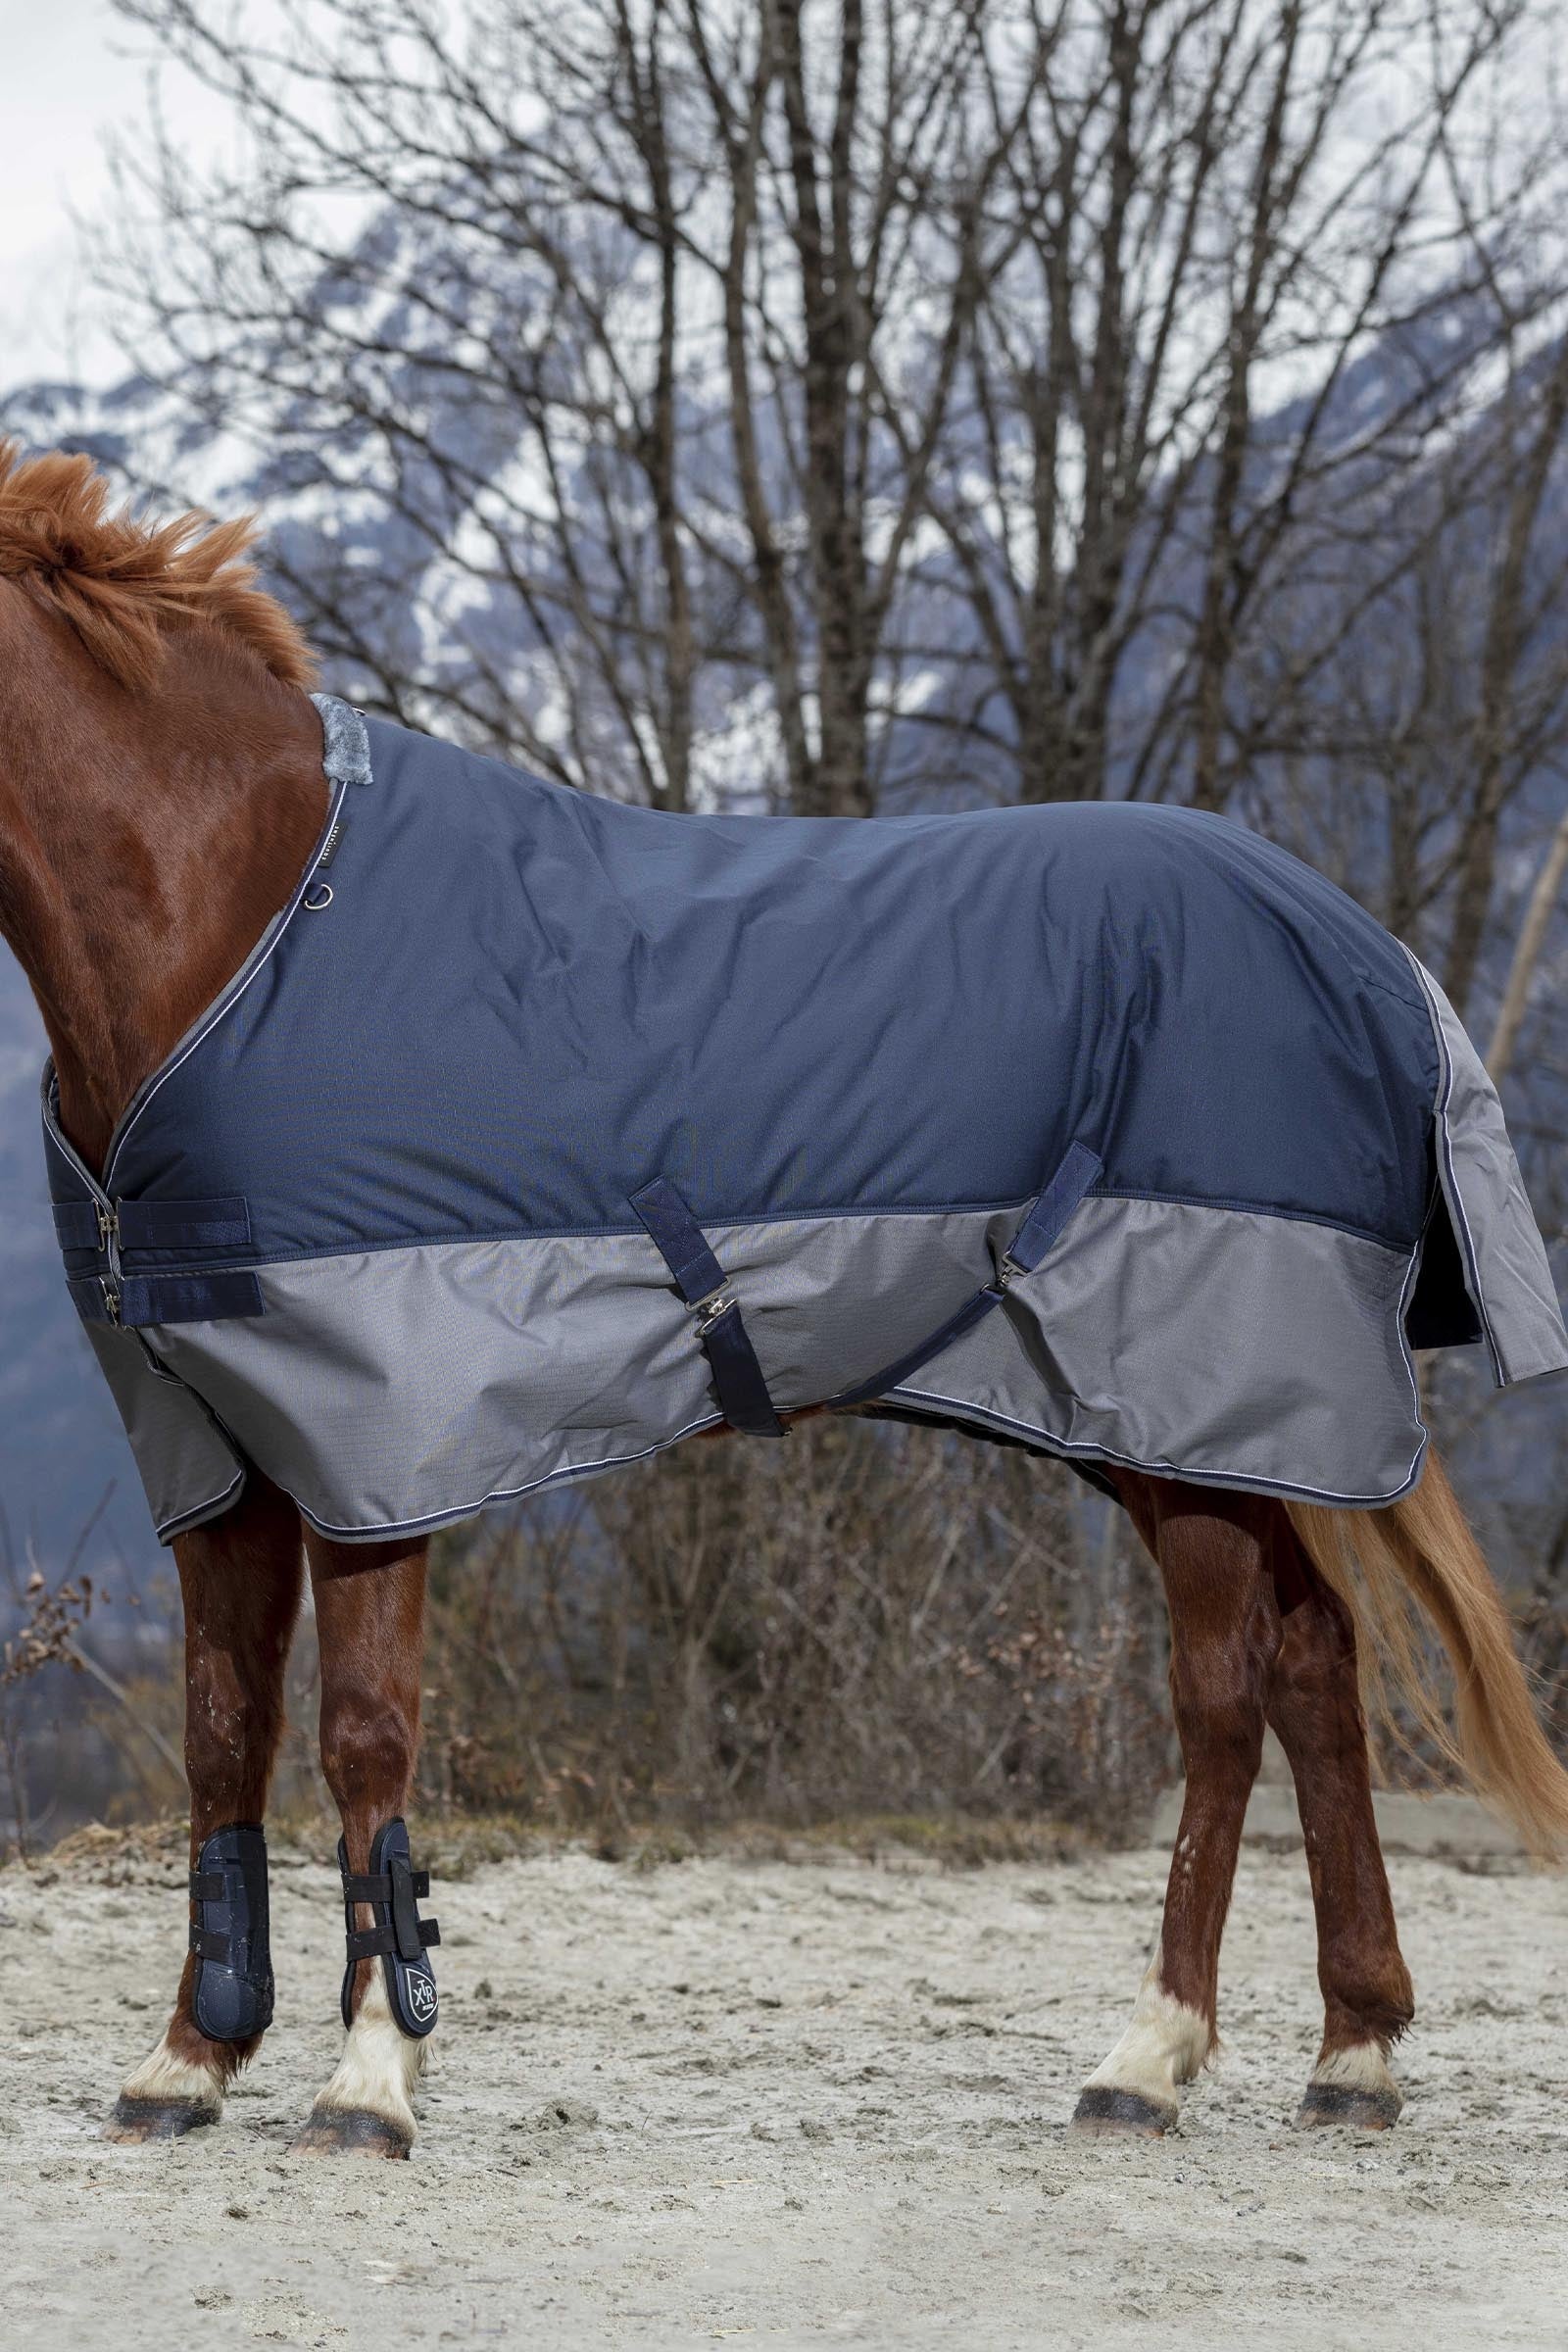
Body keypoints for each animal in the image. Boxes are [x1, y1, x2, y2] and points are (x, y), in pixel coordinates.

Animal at [1, 441, 1565, 2160]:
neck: (242, 924)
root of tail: (1370, 957)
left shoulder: (381, 1444)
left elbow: (362, 1738)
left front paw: (369, 2080)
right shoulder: (211, 1443)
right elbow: (224, 1737)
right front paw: (188, 2061)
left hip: (1180, 1413)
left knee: (1223, 1697)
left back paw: (1149, 2056)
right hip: (1173, 1428)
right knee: (1311, 1659)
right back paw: (1353, 2048)